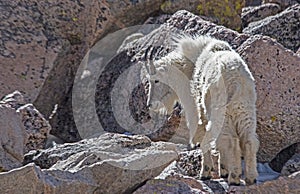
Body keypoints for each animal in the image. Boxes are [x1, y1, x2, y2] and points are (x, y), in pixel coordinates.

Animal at [144, 34, 258, 185]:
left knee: (230, 140)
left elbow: (201, 136)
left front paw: (206, 172)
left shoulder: (197, 109)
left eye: (156, 80)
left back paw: (234, 178)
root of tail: (235, 81)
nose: (150, 105)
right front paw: (223, 170)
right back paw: (251, 178)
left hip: (222, 112)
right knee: (248, 140)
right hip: (245, 110)